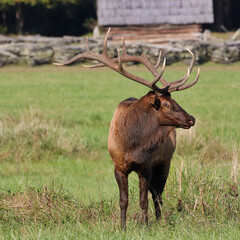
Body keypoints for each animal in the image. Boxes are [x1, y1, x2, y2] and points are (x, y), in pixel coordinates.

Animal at [53, 28, 200, 229]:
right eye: (166, 104)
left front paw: (145, 226)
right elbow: (124, 200)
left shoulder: (146, 166)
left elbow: (143, 200)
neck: (133, 144)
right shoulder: (119, 166)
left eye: (175, 101)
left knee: (157, 195)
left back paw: (159, 221)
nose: (191, 119)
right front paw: (122, 227)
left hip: (165, 162)